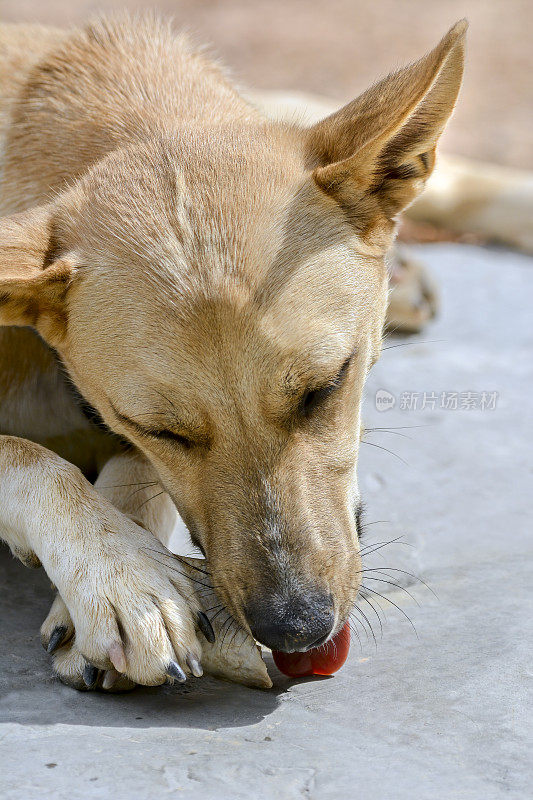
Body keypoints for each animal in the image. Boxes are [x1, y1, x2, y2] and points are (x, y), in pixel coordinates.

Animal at [0, 10, 466, 688]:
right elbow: (31, 459)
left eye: (325, 387)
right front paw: (124, 575)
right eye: (162, 429)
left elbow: (129, 482)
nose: (296, 627)